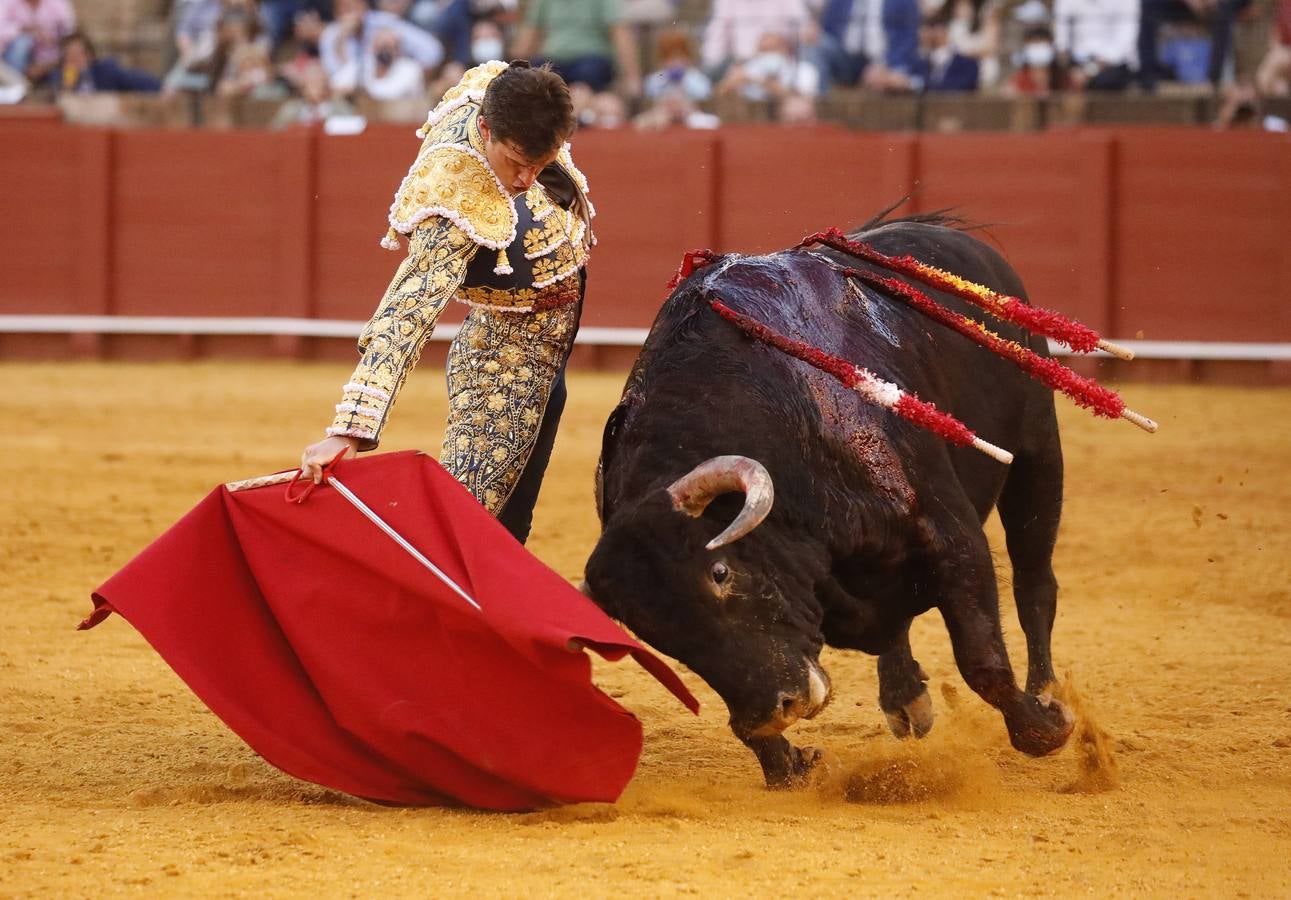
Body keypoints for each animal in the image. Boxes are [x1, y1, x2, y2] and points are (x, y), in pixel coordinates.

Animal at [586, 211, 1079, 785]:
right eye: (653, 632)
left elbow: (981, 659)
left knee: (1034, 583)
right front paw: (789, 763)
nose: (776, 709)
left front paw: (1044, 731)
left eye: (720, 572)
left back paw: (1047, 694)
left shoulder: (951, 534)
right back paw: (906, 698)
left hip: (1038, 450)